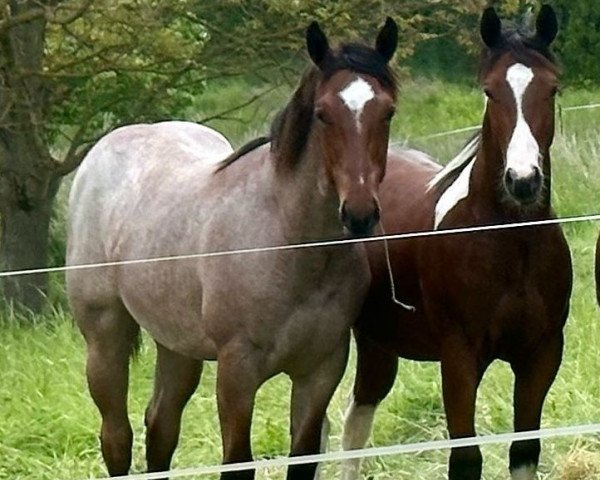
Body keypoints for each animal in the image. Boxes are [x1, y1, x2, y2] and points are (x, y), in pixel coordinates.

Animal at [68, 16, 400, 480]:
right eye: (323, 114)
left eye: (387, 112)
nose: (359, 213)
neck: (291, 243)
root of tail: (102, 152)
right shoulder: (237, 372)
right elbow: (238, 462)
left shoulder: (320, 371)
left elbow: (303, 458)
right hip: (104, 335)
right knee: (116, 436)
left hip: (177, 346)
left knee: (161, 428)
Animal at [342, 6, 572, 480]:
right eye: (490, 90)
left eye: (552, 87)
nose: (523, 181)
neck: (508, 243)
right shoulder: (459, 358)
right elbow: (466, 459)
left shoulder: (541, 355)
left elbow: (524, 452)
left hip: (378, 344)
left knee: (357, 420)